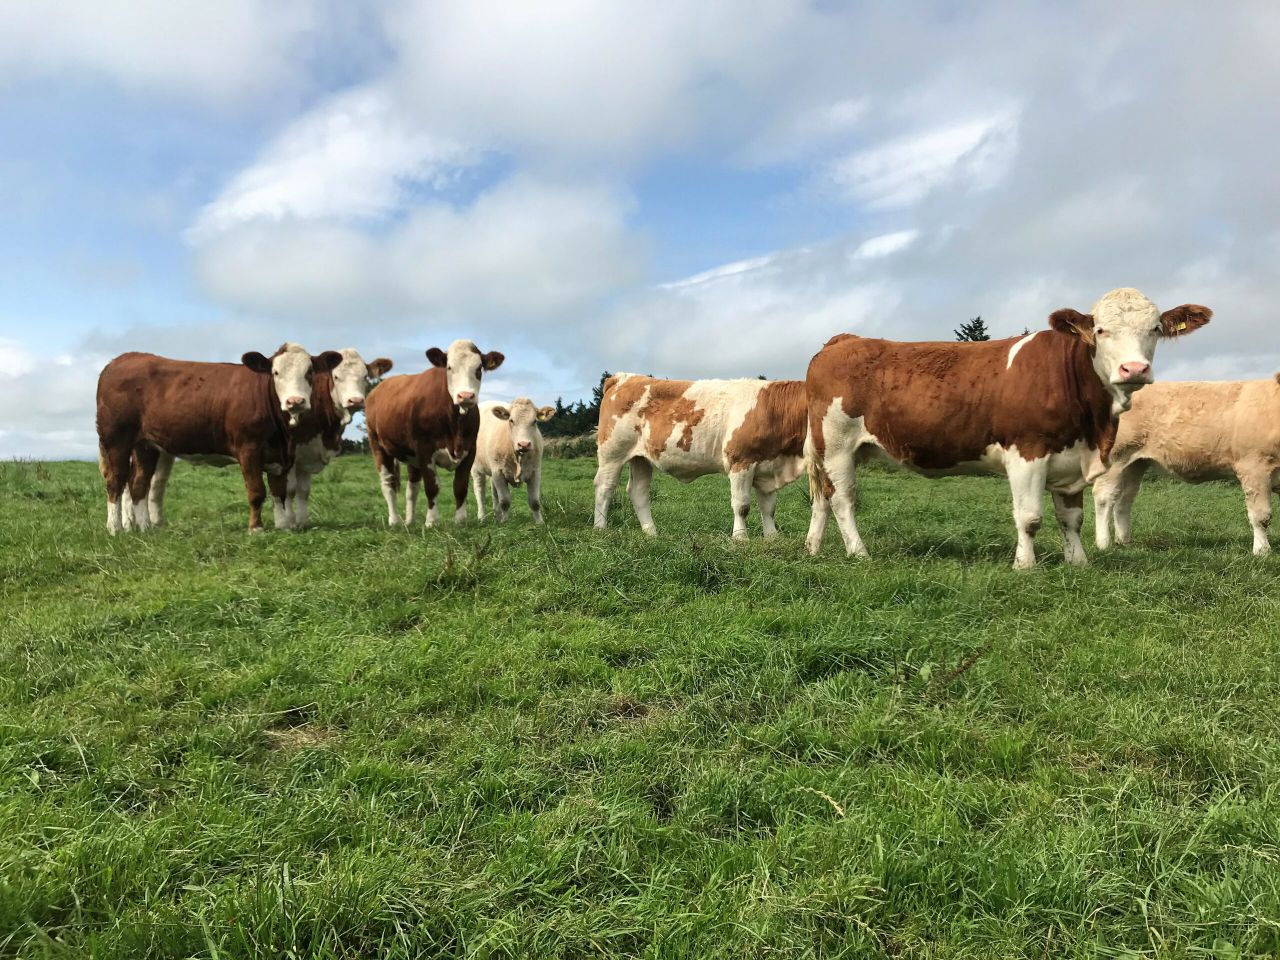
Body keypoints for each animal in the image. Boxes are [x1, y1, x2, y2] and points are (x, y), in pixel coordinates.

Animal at [96, 344, 342, 534]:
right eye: (276, 373)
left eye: (309, 372)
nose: (295, 401)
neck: (282, 432)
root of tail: (121, 360)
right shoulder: (248, 449)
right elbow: (257, 491)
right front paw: (256, 528)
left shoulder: (283, 455)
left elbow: (279, 491)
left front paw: (282, 526)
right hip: (116, 440)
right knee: (116, 481)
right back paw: (114, 529)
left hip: (146, 445)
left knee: (139, 483)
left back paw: (146, 528)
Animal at [364, 339, 505, 527]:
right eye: (449, 367)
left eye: (479, 368)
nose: (466, 396)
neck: (455, 423)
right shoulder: (424, 449)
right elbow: (432, 486)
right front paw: (432, 521)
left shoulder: (470, 450)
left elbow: (460, 486)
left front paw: (460, 520)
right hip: (378, 444)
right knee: (388, 483)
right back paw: (395, 521)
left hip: (411, 456)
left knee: (412, 487)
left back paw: (410, 521)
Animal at [593, 374, 808, 539]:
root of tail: (622, 377)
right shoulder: (740, 461)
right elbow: (741, 506)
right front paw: (740, 538)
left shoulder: (769, 466)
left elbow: (769, 508)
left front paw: (772, 538)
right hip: (612, 454)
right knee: (604, 487)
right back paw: (600, 528)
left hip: (641, 459)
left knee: (638, 491)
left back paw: (651, 533)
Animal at [804, 288, 1212, 568]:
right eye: (1100, 330)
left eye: (1155, 329)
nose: (1134, 369)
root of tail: (844, 340)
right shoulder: (1027, 451)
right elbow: (1029, 517)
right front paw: (1025, 565)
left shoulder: (1071, 460)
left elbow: (1071, 518)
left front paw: (1077, 562)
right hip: (837, 445)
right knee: (842, 499)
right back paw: (859, 552)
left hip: (831, 451)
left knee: (821, 497)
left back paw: (813, 547)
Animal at [1093, 377, 1280, 556]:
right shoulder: (1254, 467)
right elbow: (1261, 516)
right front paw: (1261, 551)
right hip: (1114, 457)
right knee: (1104, 497)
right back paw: (1103, 544)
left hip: (1134, 464)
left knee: (1124, 500)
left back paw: (1124, 542)